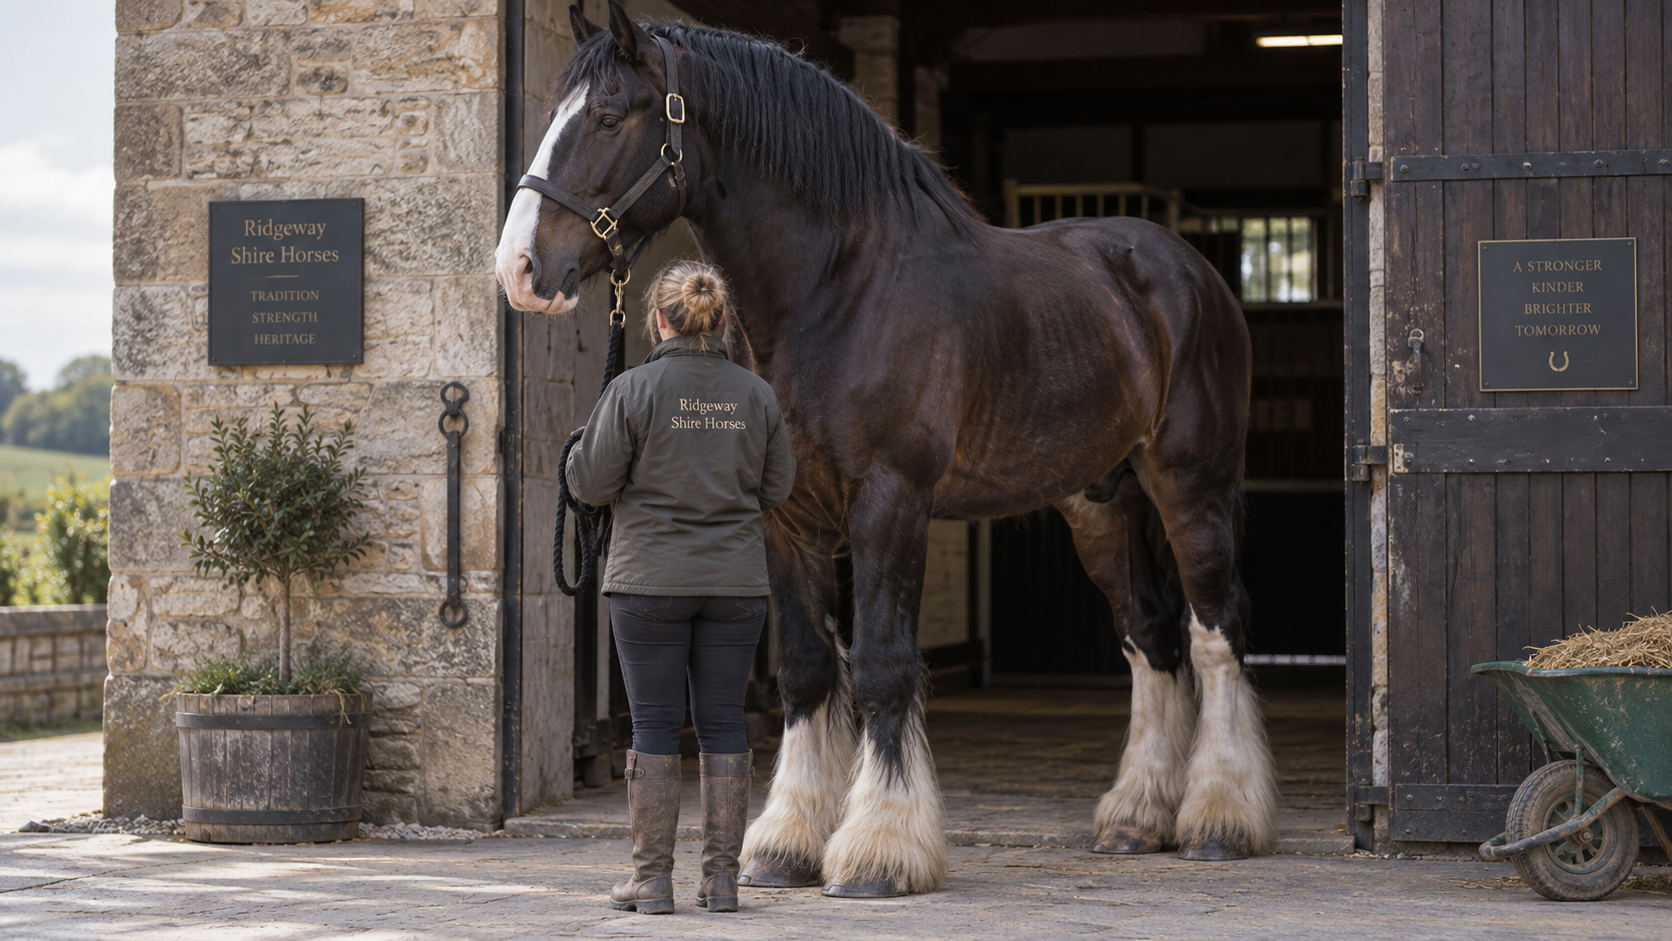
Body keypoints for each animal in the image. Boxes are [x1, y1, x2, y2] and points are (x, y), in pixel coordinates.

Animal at [496, 2, 1277, 898]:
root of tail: (1187, 270)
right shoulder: (784, 517)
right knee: (1150, 632)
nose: (517, 268)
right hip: (1101, 501)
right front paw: (784, 843)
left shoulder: (891, 498)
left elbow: (881, 662)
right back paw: (1136, 817)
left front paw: (879, 847)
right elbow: (807, 667)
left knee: (1216, 627)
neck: (837, 289)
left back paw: (1221, 818)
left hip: (1192, 484)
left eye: (606, 115)